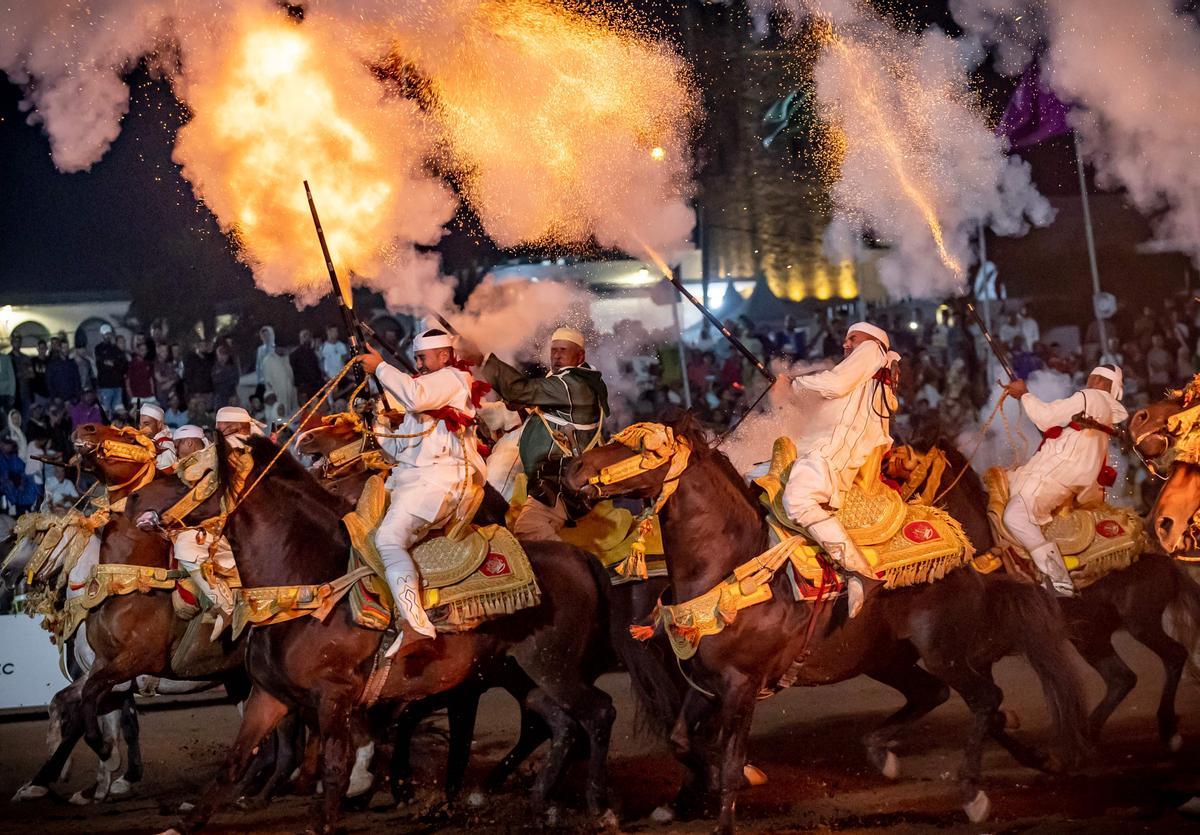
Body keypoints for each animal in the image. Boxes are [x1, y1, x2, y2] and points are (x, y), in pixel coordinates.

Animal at [141, 434, 624, 830]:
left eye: (201, 475)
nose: (151, 516)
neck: (307, 585)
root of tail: (581, 558)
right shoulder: (270, 695)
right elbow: (235, 761)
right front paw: (184, 824)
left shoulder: (333, 695)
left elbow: (336, 766)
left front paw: (325, 820)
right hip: (517, 673)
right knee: (557, 724)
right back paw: (535, 801)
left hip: (551, 666)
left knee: (597, 713)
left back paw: (599, 808)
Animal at [561, 415, 1089, 830]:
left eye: (642, 447)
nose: (573, 469)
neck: (731, 565)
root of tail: (967, 558)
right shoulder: (706, 681)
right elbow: (681, 740)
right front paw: (699, 792)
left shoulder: (742, 684)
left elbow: (729, 763)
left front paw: (729, 798)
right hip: (885, 658)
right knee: (939, 696)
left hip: (944, 651)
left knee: (985, 700)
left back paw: (973, 793)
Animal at [888, 443, 1200, 748]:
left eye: (903, 468)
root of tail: (1158, 550)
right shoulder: (978, 653)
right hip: (1090, 635)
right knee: (1121, 678)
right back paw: (1089, 733)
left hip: (1140, 622)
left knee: (1174, 655)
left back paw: (1167, 728)